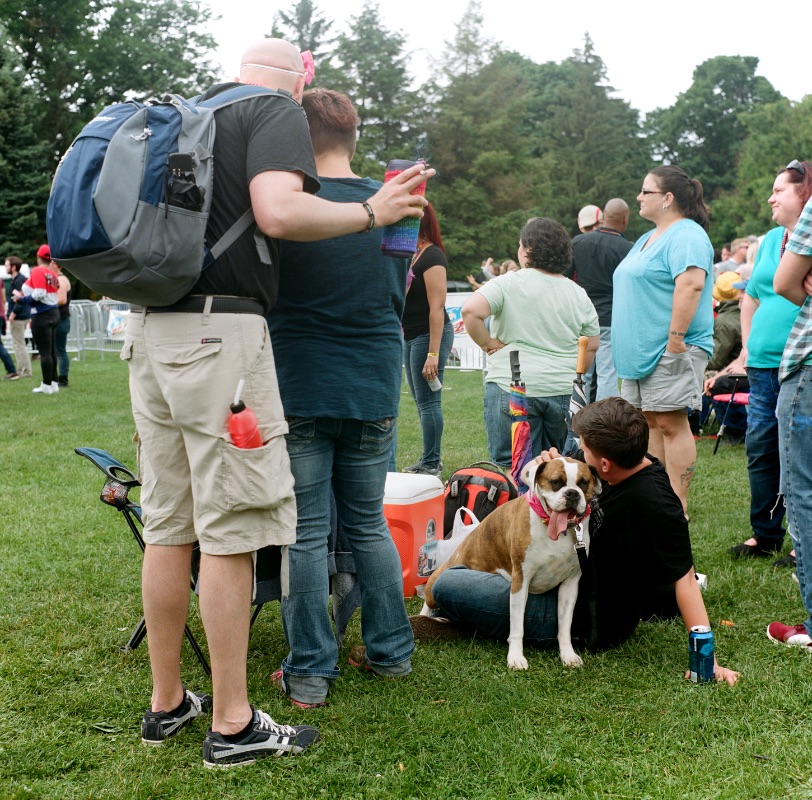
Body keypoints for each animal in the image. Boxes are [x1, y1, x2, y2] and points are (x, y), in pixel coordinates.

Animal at [422, 456, 600, 668]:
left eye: (583, 483)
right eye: (556, 481)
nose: (572, 493)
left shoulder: (570, 586)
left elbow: (564, 626)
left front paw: (568, 654)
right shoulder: (520, 582)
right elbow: (517, 627)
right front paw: (515, 657)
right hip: (438, 580)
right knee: (428, 597)